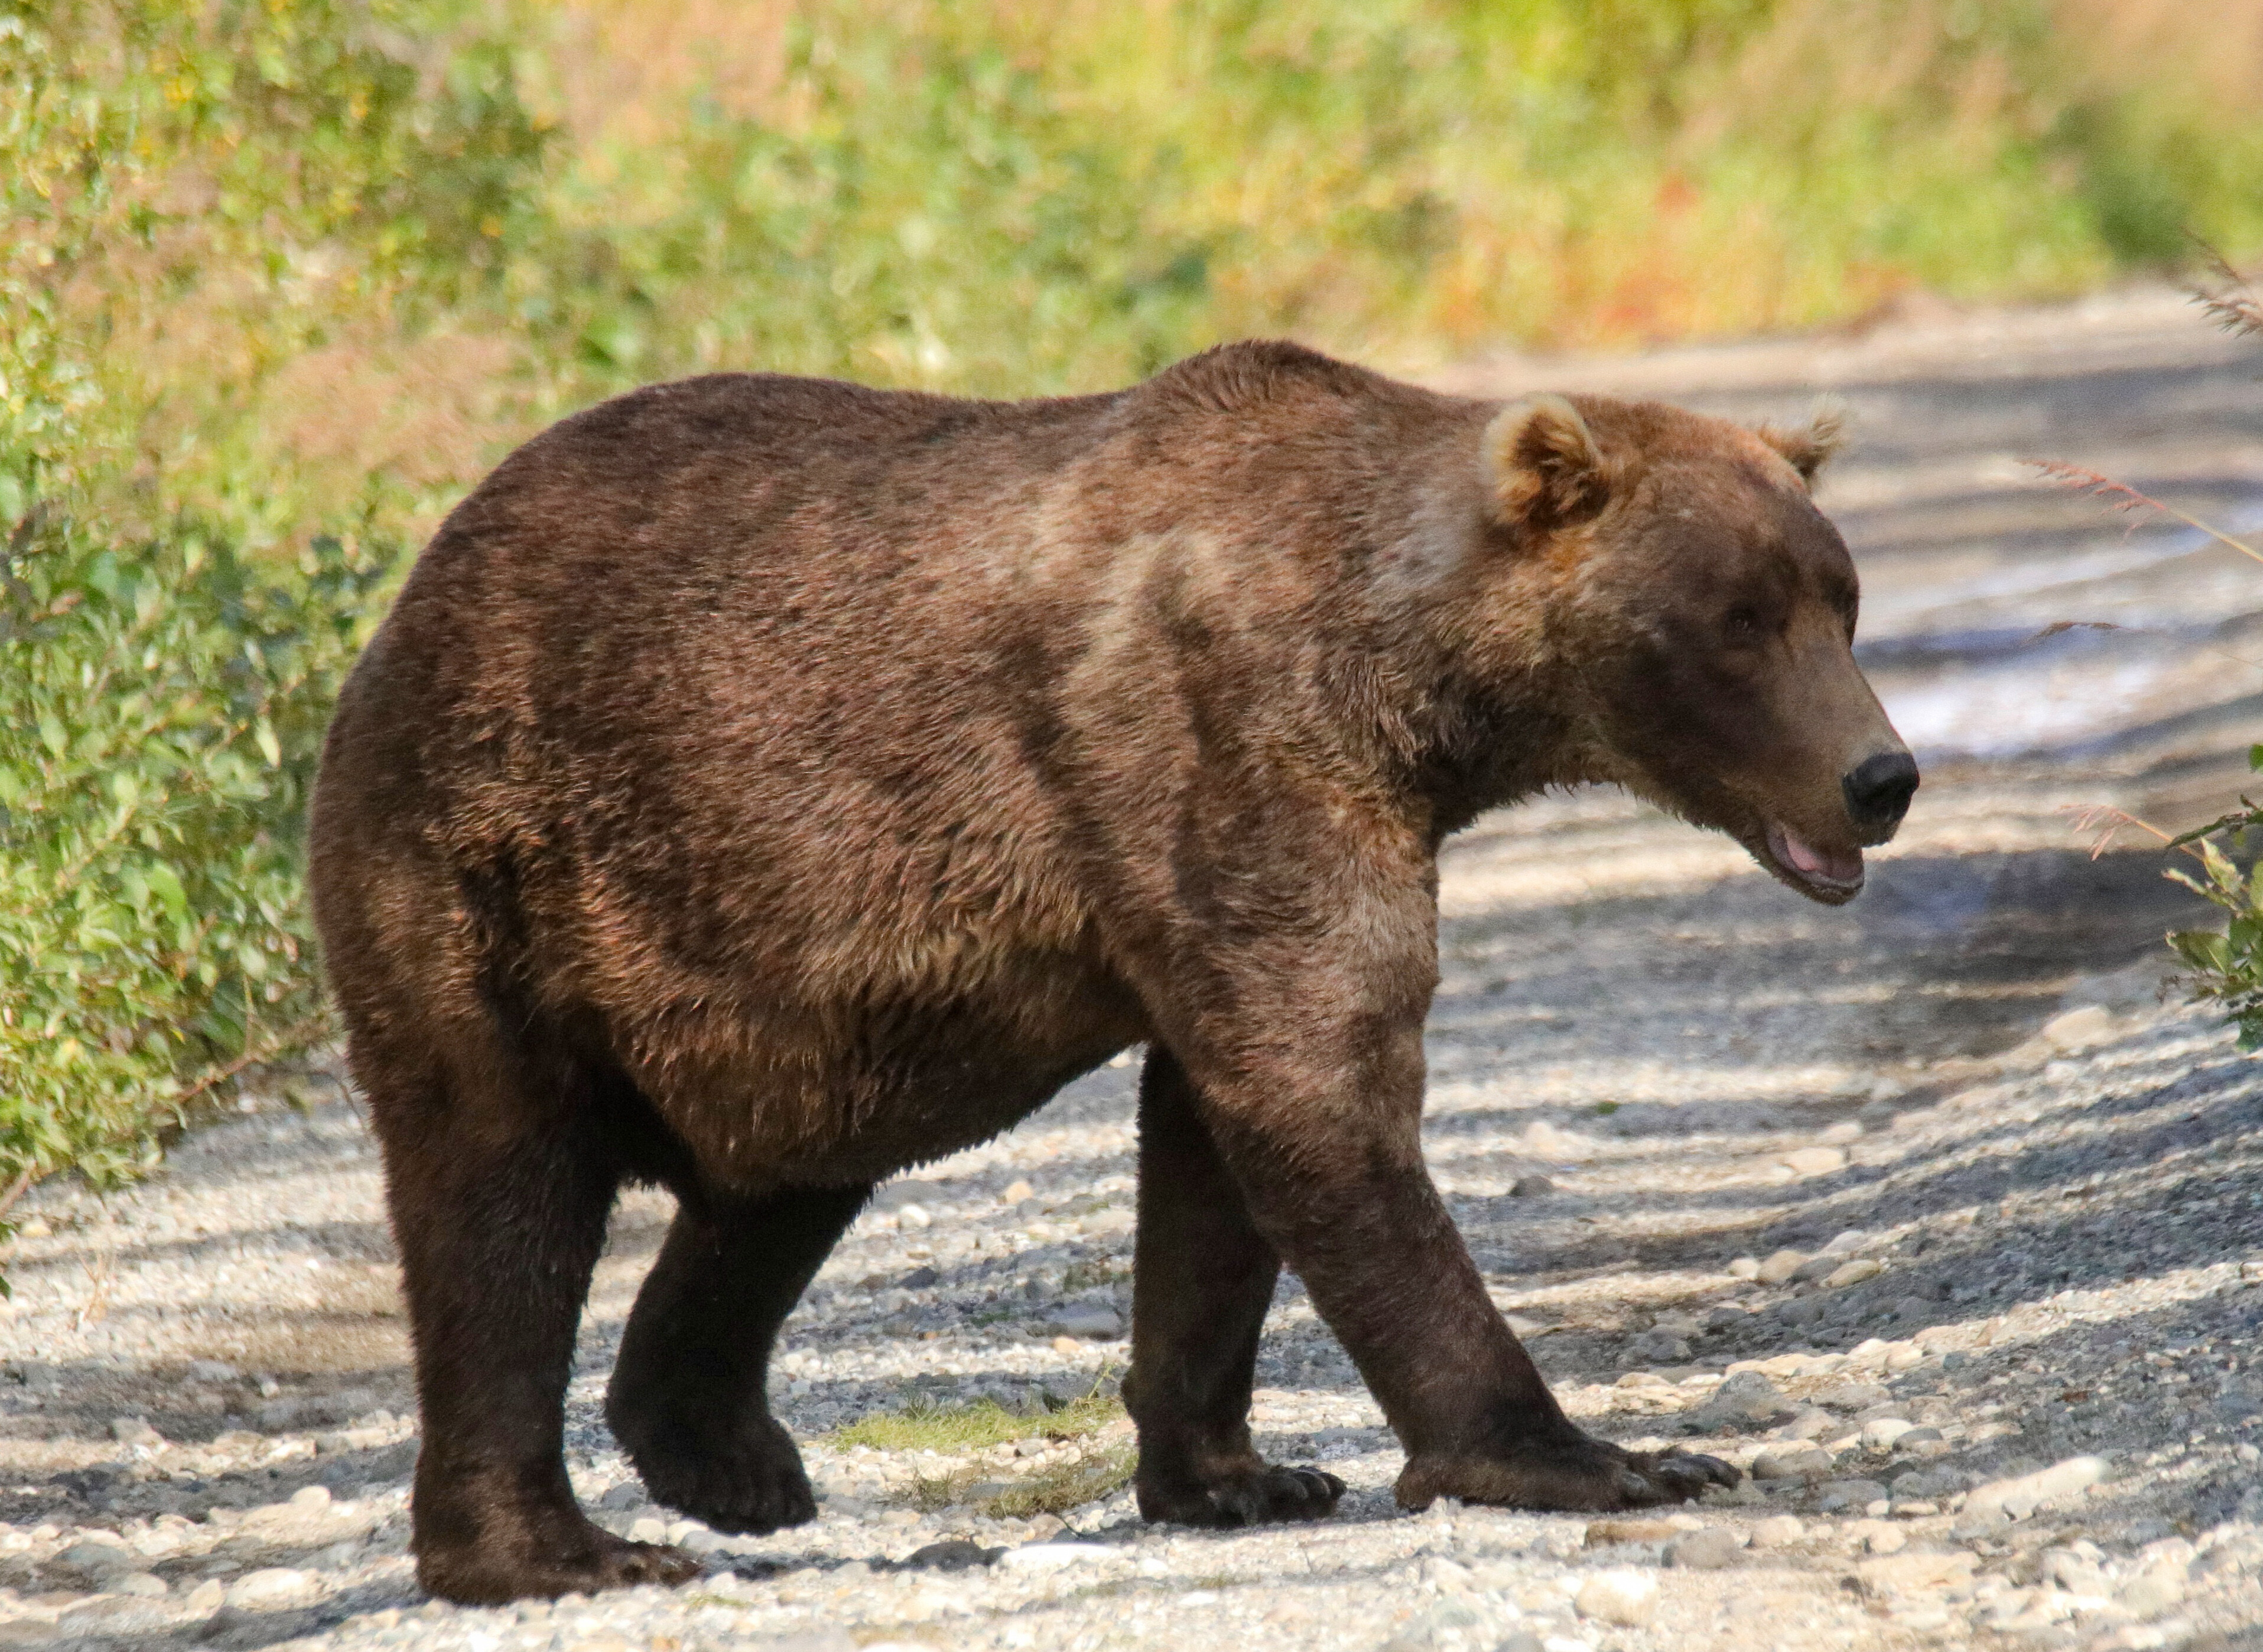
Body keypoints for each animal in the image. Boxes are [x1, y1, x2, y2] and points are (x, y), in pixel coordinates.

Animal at [310, 342, 1919, 1602]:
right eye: (1735, 619)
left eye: (1838, 598)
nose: (1882, 776)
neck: (1405, 682)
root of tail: (408, 597)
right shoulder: (1233, 746)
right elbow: (1324, 1084)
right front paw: (1600, 1454)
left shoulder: (1241, 844)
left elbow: (1215, 1146)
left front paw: (1238, 1473)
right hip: (500, 869)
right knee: (498, 1198)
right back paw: (556, 1547)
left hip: (783, 987)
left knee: (779, 1181)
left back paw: (727, 1456)